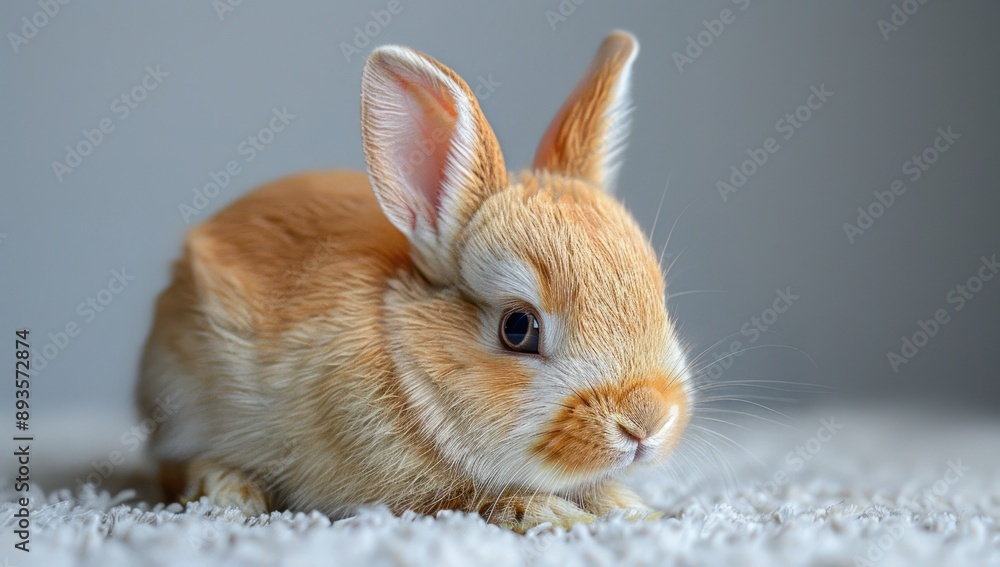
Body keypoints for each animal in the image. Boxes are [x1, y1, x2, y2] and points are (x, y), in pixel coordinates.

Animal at [137, 30, 691, 532]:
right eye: (519, 329)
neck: (410, 364)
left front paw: (630, 507)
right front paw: (550, 512)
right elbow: (470, 499)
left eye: (658, 300)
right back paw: (230, 490)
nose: (646, 421)